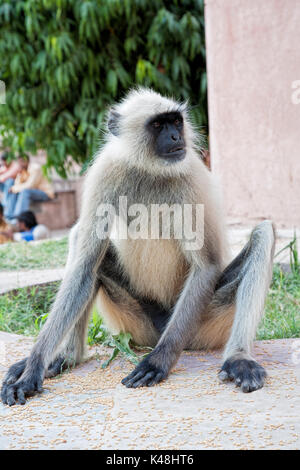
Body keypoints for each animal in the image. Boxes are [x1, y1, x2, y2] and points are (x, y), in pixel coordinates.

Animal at [1, 90, 276, 406]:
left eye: (175, 121)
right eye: (158, 125)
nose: (175, 137)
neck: (150, 169)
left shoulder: (190, 177)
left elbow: (206, 266)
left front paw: (158, 362)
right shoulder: (105, 172)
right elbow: (85, 266)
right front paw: (33, 367)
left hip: (203, 323)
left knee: (263, 234)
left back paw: (237, 359)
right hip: (136, 321)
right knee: (81, 244)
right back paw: (67, 357)